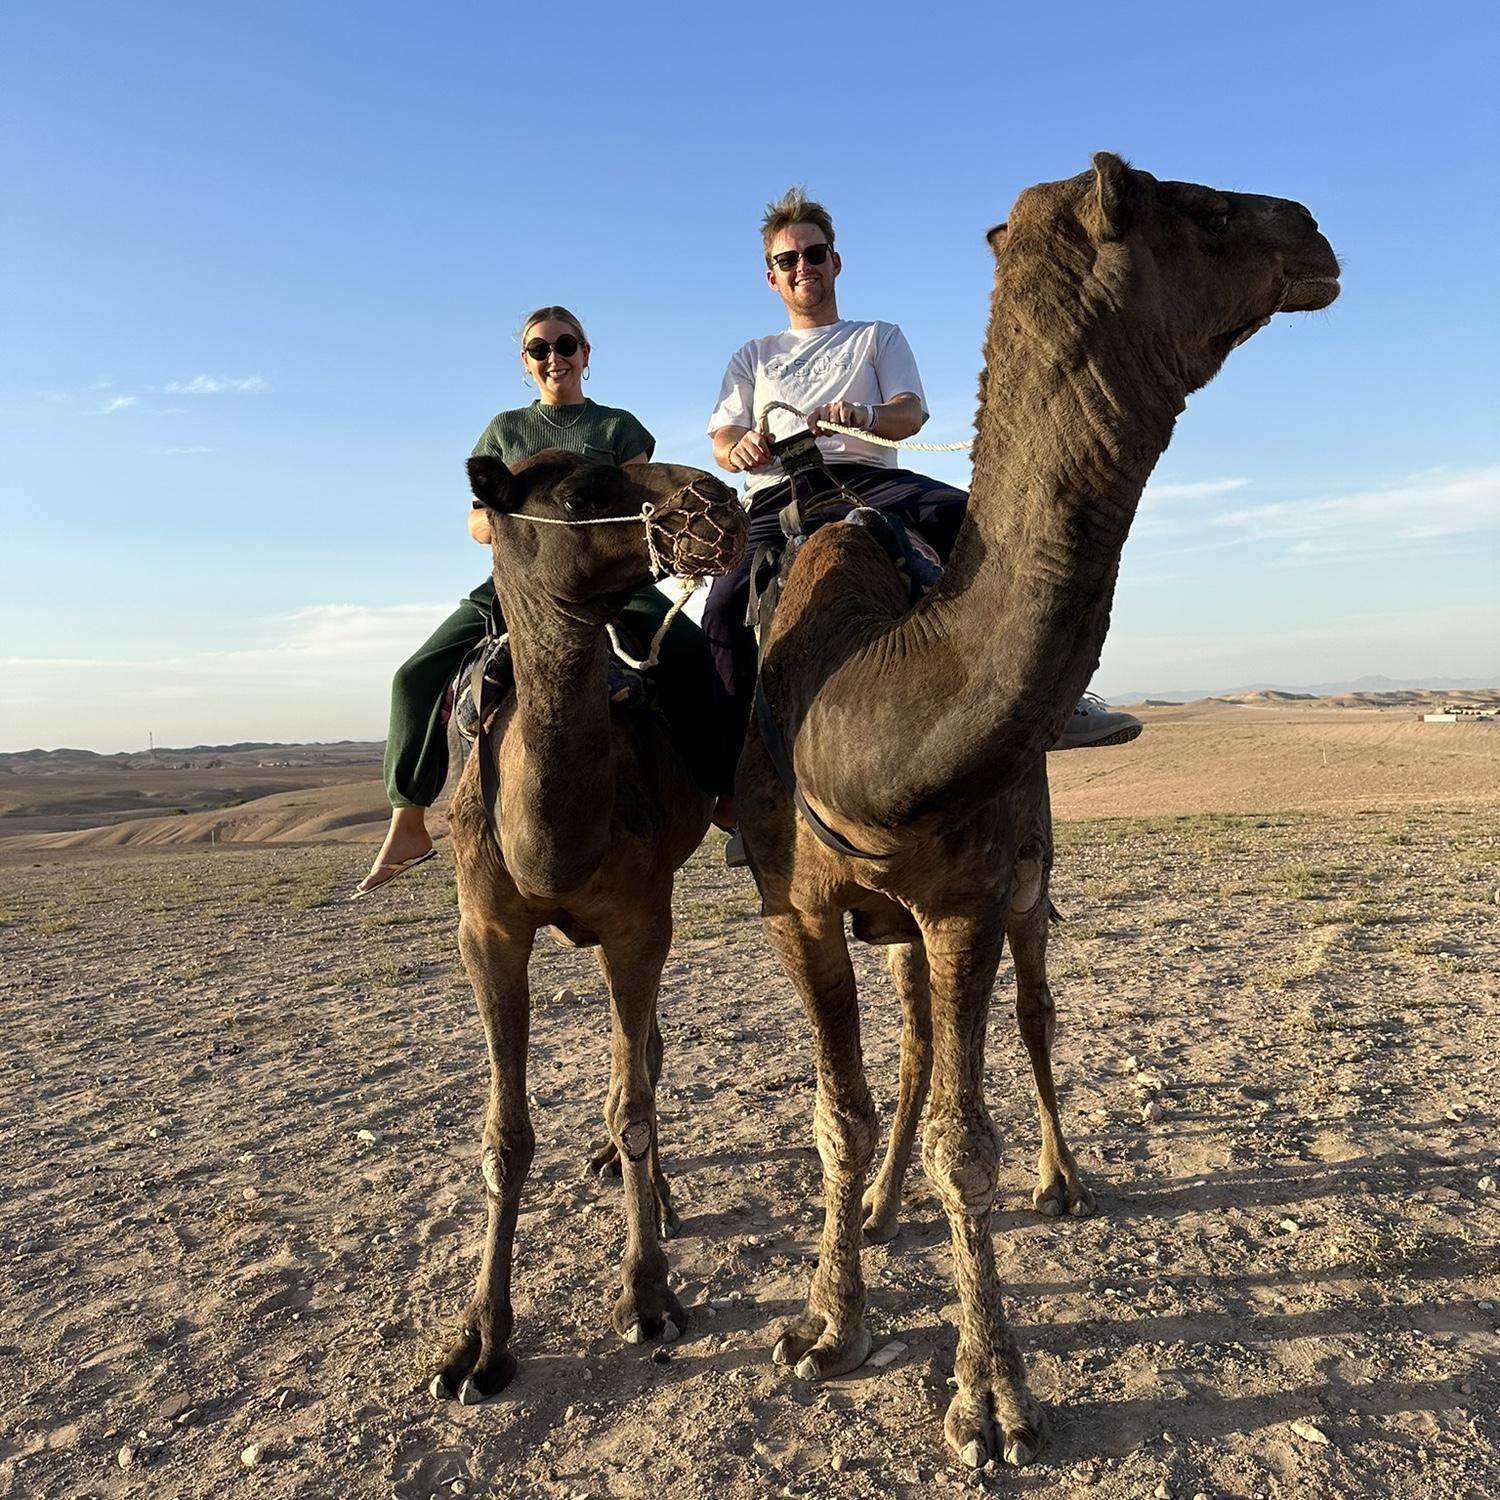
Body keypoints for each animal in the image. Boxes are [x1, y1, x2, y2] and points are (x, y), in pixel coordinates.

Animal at [426, 450, 744, 1403]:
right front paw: (477, 1345)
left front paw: (648, 1296)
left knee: (644, 1057)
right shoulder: (487, 931)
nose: (717, 498)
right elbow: (506, 1135)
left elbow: (633, 1101)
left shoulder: (639, 921)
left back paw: (656, 1193)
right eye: (577, 496)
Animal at [737, 154, 1339, 1467]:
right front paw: (825, 1327)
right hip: (890, 920)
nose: (1313, 229)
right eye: (1194, 207)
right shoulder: (795, 909)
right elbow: (839, 1114)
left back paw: (1061, 1181)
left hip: (1025, 883)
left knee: (1036, 1017)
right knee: (915, 1044)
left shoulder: (969, 897)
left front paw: (991, 1403)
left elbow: (972, 1143)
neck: (857, 704)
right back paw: (880, 1207)